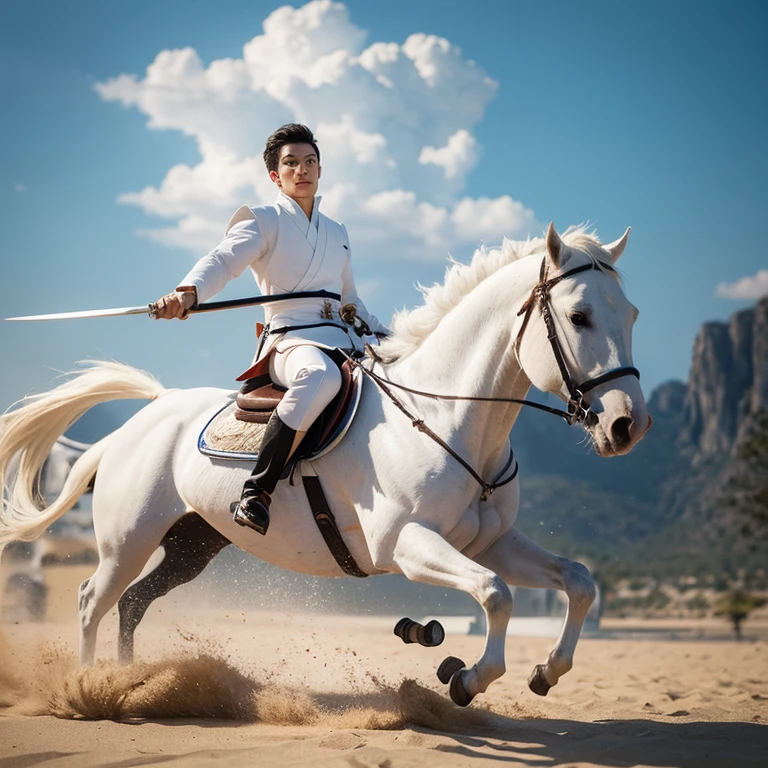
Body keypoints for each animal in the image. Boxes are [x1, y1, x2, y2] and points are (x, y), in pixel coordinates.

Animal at [0, 224, 648, 708]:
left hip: (191, 543)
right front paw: (464, 676)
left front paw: (547, 670)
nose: (627, 425)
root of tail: (150, 412)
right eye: (581, 316)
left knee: (133, 602)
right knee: (93, 599)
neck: (445, 415)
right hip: (127, 541)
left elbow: (578, 580)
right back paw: (89, 689)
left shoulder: (491, 541)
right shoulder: (406, 545)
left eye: (633, 315)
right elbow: (496, 595)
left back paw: (129, 681)